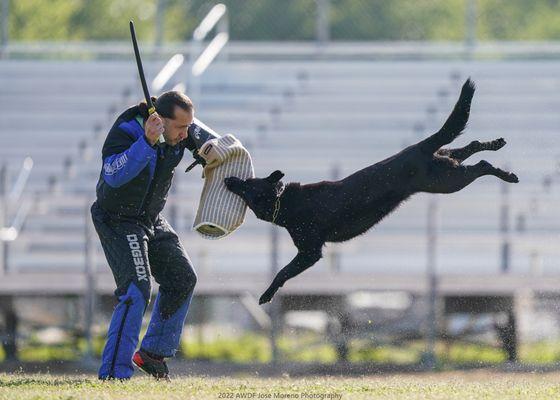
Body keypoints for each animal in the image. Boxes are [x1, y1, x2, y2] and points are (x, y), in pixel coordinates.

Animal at [223, 79, 516, 304]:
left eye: (248, 187)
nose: (228, 179)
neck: (285, 200)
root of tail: (419, 148)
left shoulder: (309, 253)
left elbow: (282, 272)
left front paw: (267, 294)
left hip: (447, 181)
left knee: (481, 165)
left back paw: (506, 174)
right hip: (446, 163)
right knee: (471, 146)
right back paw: (496, 143)